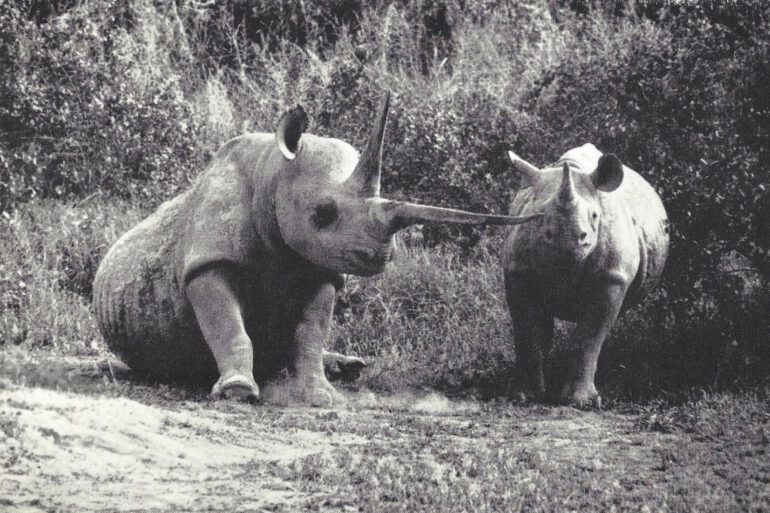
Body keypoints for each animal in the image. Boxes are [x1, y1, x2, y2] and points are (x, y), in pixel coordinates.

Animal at [93, 93, 540, 406]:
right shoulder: (207, 263)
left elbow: (310, 333)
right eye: (322, 214)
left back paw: (352, 368)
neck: (275, 173)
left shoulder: (321, 268)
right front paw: (237, 392)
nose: (379, 256)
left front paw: (321, 397)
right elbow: (228, 326)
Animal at [503, 144, 669, 408]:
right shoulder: (519, 273)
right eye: (537, 215)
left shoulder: (611, 278)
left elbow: (589, 337)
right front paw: (523, 397)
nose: (566, 241)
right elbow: (528, 331)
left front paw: (580, 402)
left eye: (594, 216)